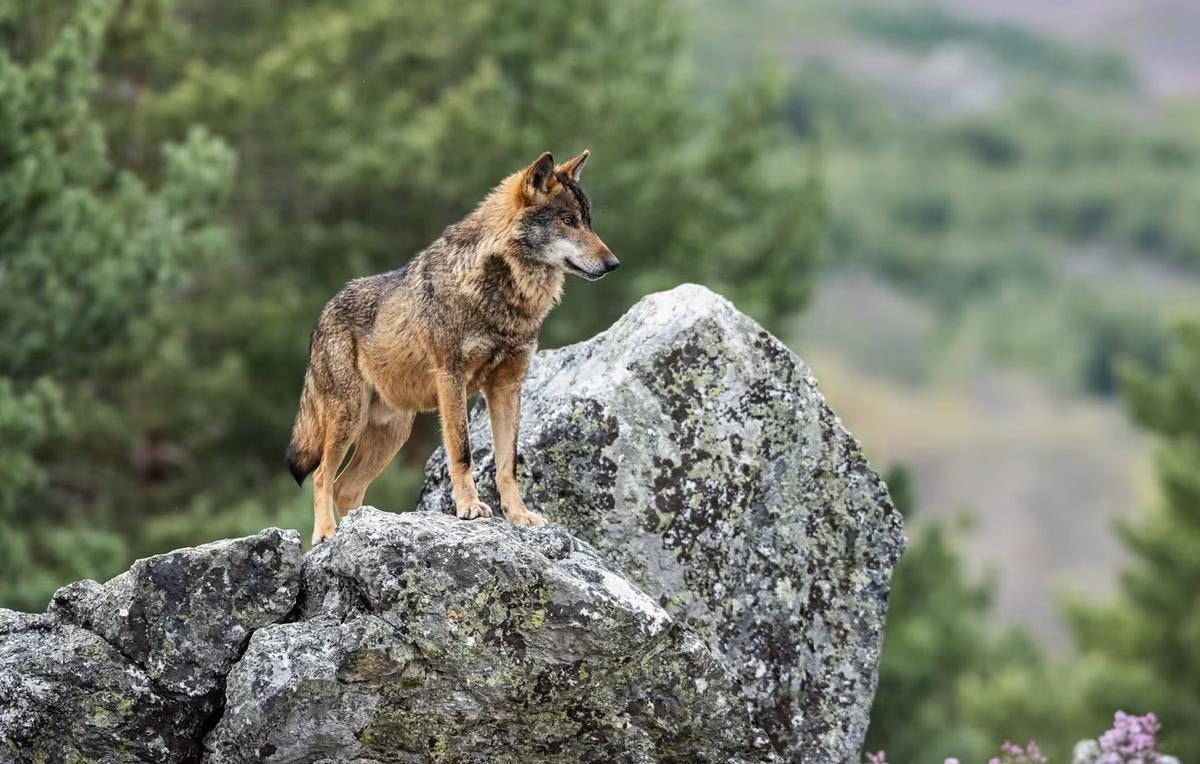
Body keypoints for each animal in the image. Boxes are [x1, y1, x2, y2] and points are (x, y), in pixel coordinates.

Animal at [286, 150, 617, 544]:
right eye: (568, 221)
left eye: (588, 222)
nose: (614, 264)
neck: (503, 295)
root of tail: (322, 315)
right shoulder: (451, 378)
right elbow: (462, 453)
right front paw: (470, 509)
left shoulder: (507, 387)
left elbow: (508, 463)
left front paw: (518, 515)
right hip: (348, 420)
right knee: (323, 475)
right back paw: (326, 534)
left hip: (393, 434)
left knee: (346, 487)